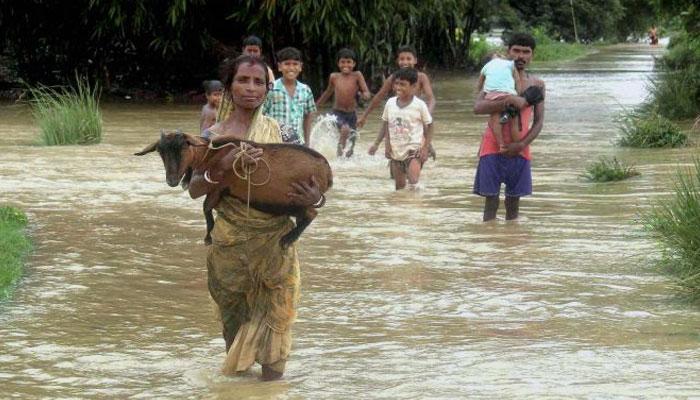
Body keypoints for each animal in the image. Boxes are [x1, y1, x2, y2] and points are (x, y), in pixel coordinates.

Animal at [138, 131, 334, 247]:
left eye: (184, 147)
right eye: (160, 151)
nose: (171, 180)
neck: (211, 154)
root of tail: (327, 170)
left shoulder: (219, 187)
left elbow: (206, 207)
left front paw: (208, 237)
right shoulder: (216, 189)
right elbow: (206, 207)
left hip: (293, 198)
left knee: (311, 214)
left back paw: (288, 239)